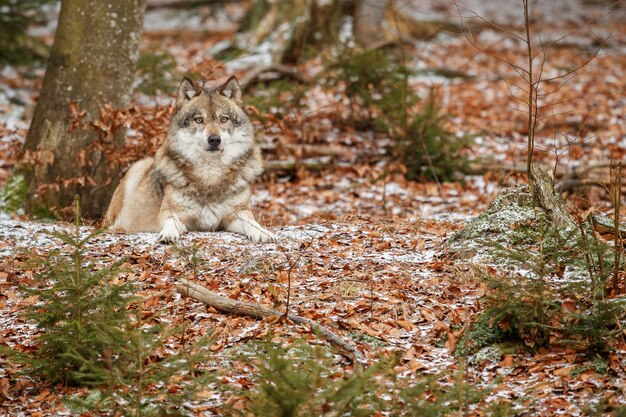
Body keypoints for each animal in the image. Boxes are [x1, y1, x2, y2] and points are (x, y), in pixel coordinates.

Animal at [105, 76, 276, 242]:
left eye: (224, 119)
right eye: (198, 120)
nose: (214, 139)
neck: (210, 174)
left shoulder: (237, 214)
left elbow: (251, 222)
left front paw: (262, 232)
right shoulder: (171, 212)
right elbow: (171, 222)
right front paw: (168, 234)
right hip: (138, 167)